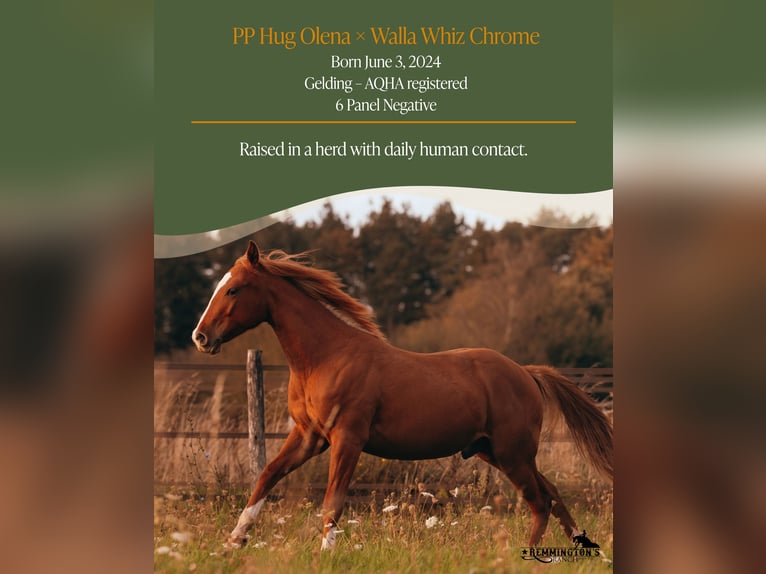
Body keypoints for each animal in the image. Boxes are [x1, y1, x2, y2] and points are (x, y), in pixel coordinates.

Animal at [192, 241, 613, 551]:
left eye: (233, 289)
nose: (201, 337)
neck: (327, 356)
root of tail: (525, 372)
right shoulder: (308, 436)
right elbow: (266, 476)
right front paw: (234, 541)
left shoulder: (347, 439)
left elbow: (333, 501)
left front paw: (324, 554)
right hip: (495, 451)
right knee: (551, 493)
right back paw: (578, 544)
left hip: (513, 453)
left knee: (539, 501)